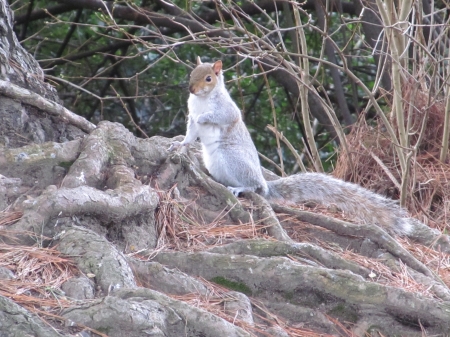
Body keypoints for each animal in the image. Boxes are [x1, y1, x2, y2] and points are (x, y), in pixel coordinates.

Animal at [169, 57, 412, 235]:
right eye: (191, 73)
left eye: (208, 78)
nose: (191, 89)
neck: (202, 100)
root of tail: (266, 184)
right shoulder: (192, 119)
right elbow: (190, 134)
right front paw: (180, 144)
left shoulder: (226, 110)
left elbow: (220, 116)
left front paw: (204, 118)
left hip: (232, 158)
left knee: (255, 186)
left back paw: (242, 188)